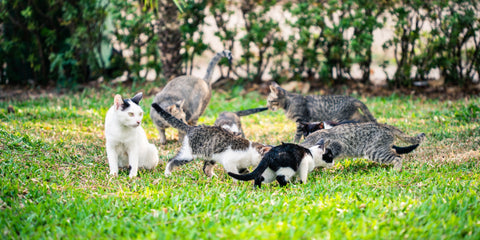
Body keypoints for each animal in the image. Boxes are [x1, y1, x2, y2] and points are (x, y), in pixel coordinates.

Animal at [298, 123, 426, 172]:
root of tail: (385, 125)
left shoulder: (338, 144)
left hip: (375, 151)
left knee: (398, 157)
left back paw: (396, 170)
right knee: (395, 151)